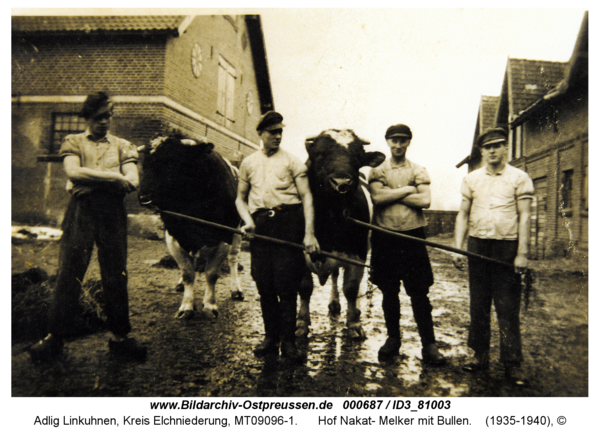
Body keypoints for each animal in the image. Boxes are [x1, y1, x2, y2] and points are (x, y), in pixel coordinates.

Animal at [138, 135, 244, 318]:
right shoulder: (174, 234)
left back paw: (236, 289)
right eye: (145, 163)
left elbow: (212, 273)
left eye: (172, 163)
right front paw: (186, 306)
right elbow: (187, 272)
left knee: (233, 258)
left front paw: (210, 305)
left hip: (237, 232)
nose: (143, 197)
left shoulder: (224, 235)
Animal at [298, 129, 386, 340]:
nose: (341, 182)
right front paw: (302, 322)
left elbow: (351, 288)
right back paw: (334, 303)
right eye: (319, 154)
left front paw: (354, 323)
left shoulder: (358, 253)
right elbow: (305, 287)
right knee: (335, 275)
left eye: (357, 157)